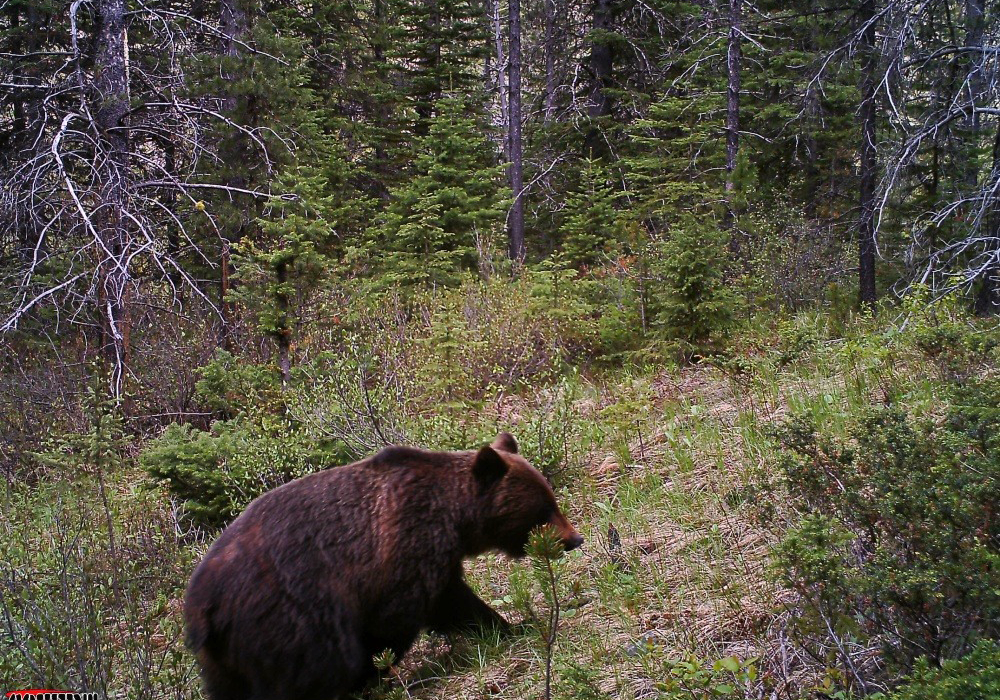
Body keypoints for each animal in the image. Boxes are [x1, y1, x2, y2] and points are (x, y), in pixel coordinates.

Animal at [184, 433, 583, 700]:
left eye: (552, 499)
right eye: (543, 510)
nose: (574, 538)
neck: (455, 518)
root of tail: (203, 607)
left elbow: (452, 599)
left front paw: (508, 624)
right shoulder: (406, 544)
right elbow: (402, 616)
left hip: (223, 656)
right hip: (287, 616)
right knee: (319, 664)